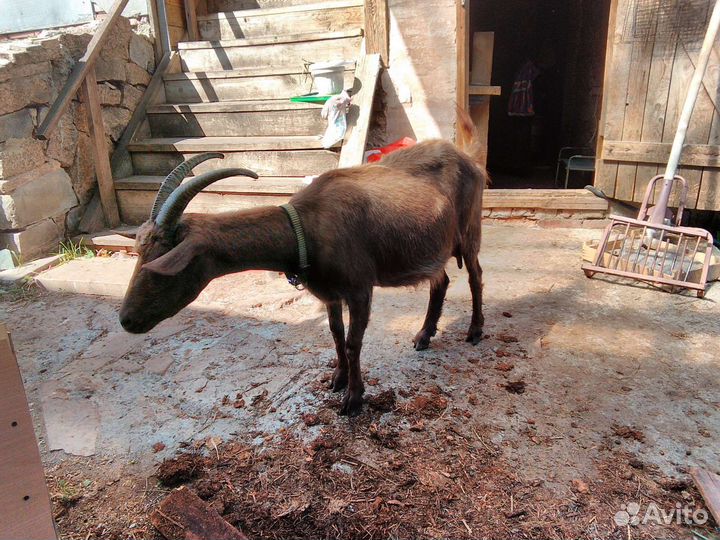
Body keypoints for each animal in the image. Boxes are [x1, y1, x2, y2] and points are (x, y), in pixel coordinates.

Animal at [119, 111, 486, 416]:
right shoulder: (330, 293)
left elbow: (353, 343)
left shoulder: (359, 289)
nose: (126, 321)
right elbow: (336, 335)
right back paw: (424, 335)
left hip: (469, 230)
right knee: (441, 281)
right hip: (434, 246)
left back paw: (475, 331)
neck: (305, 228)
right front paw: (337, 379)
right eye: (139, 254)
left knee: (475, 276)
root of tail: (467, 158)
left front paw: (353, 399)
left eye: (162, 267)